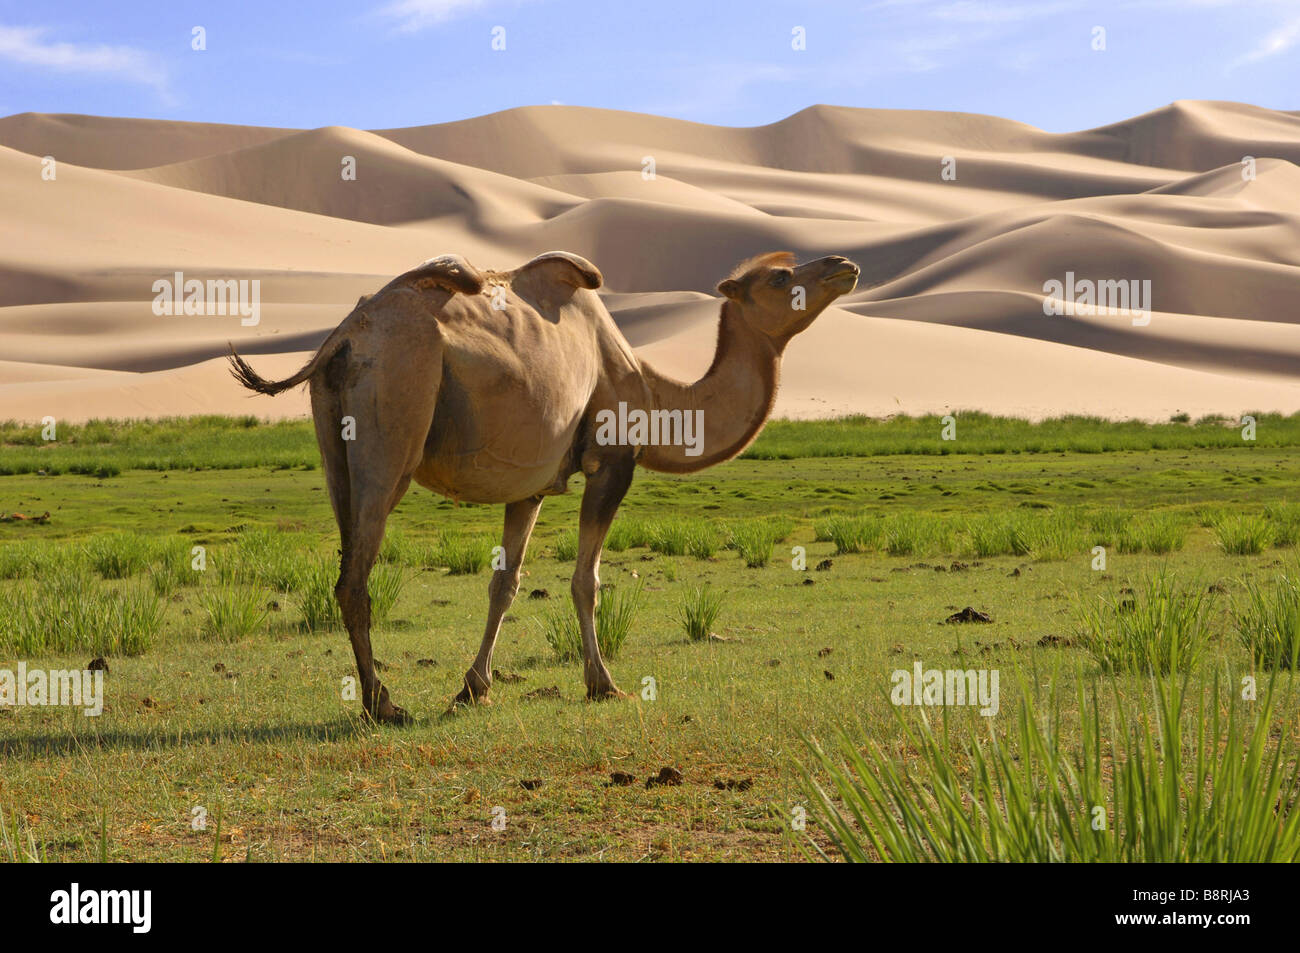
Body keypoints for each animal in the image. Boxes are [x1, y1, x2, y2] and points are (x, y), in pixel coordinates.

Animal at [228, 249, 859, 722]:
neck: (653, 394)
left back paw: (378, 697)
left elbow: (504, 584)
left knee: (345, 557)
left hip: (334, 440)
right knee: (356, 577)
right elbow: (586, 581)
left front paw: (474, 688)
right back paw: (384, 704)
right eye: (780, 277)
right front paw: (603, 683)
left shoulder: (527, 488)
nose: (843, 264)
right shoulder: (612, 461)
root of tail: (343, 335)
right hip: (394, 418)